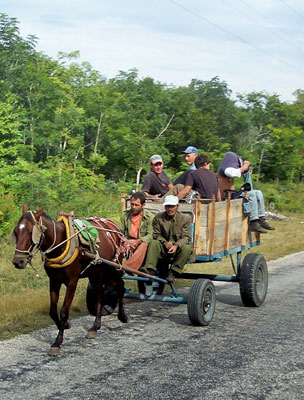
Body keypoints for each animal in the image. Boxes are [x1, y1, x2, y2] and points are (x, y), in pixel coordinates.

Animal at [11, 206, 128, 356]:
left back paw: (122, 316)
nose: (18, 262)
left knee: (120, 287)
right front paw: (65, 325)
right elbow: (52, 311)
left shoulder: (72, 282)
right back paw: (95, 326)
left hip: (114, 266)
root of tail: (114, 226)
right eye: (16, 231)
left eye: (31, 232)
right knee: (100, 293)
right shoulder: (54, 281)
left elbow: (64, 312)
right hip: (96, 271)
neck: (61, 243)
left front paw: (57, 342)